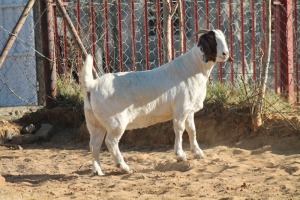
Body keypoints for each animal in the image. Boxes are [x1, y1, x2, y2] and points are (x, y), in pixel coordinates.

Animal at [79, 28, 230, 175]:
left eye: (223, 38)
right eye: (212, 39)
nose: (226, 53)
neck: (194, 68)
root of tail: (92, 85)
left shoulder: (189, 110)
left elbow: (192, 129)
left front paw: (198, 153)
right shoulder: (180, 109)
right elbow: (179, 129)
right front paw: (180, 155)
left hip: (95, 123)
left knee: (94, 144)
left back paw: (98, 170)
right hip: (115, 122)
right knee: (111, 142)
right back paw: (124, 167)